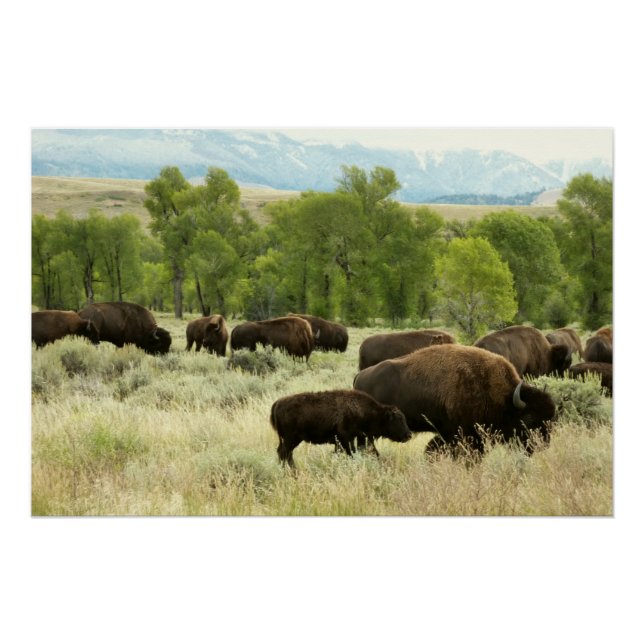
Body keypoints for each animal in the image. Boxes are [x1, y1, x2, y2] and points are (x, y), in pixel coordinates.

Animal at [270, 389, 412, 468]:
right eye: (398, 420)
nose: (409, 435)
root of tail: (277, 403)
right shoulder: (346, 438)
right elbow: (351, 453)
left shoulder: (346, 440)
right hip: (290, 439)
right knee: (285, 453)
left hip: (290, 440)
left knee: (284, 453)